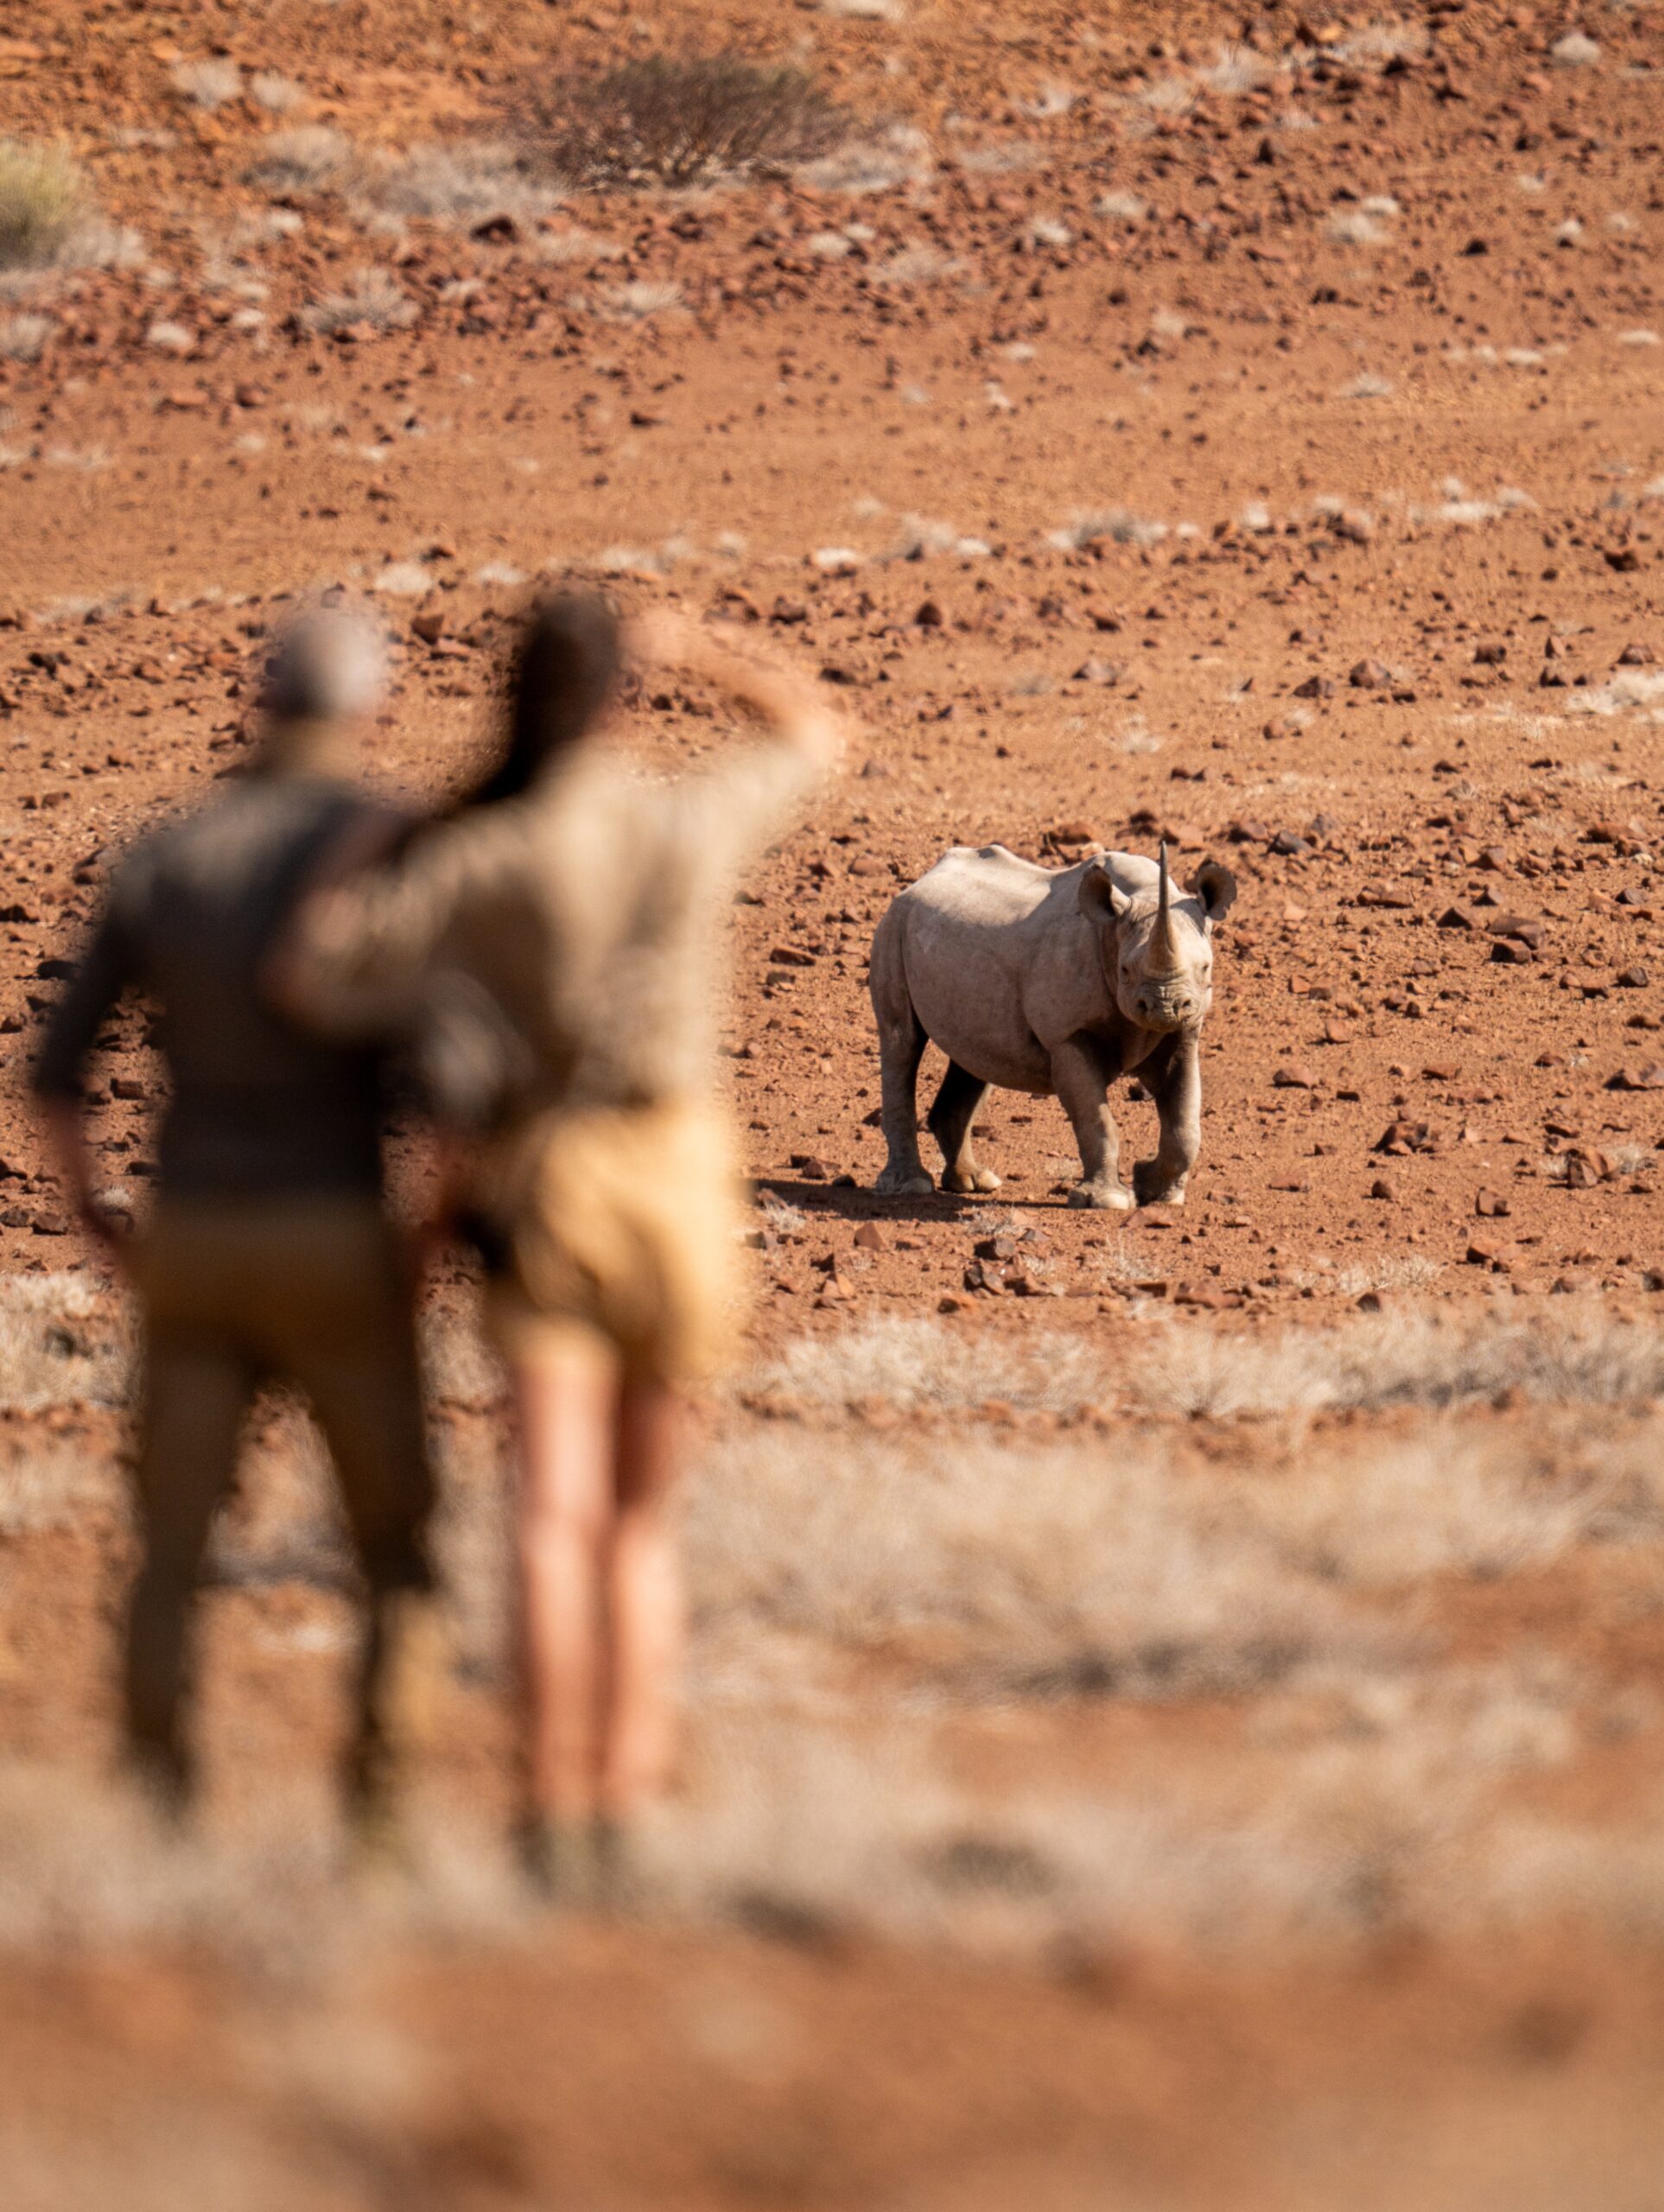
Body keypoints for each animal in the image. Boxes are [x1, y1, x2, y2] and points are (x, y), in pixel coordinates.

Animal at [868, 841, 1238, 1210]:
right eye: (1125, 971)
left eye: (1205, 968)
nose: (1165, 1006)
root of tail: (917, 883)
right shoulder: (1067, 1035)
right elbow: (1096, 1119)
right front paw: (1107, 1201)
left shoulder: (1184, 1032)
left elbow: (1185, 1124)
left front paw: (1157, 1192)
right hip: (893, 927)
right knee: (902, 1042)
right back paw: (912, 1186)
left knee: (972, 1057)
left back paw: (974, 1182)